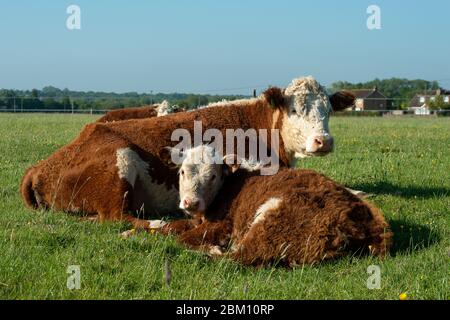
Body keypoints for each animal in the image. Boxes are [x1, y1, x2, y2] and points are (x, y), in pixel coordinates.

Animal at [20, 75, 356, 230]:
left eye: (328, 110)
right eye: (295, 109)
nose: (324, 141)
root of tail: (41, 166)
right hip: (120, 160)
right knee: (117, 217)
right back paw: (159, 222)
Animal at [153, 146, 392, 266]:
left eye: (212, 176)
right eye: (182, 171)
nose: (191, 202)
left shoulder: (221, 225)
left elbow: (182, 238)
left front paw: (209, 245)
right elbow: (170, 227)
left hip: (271, 221)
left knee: (238, 257)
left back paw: (211, 252)